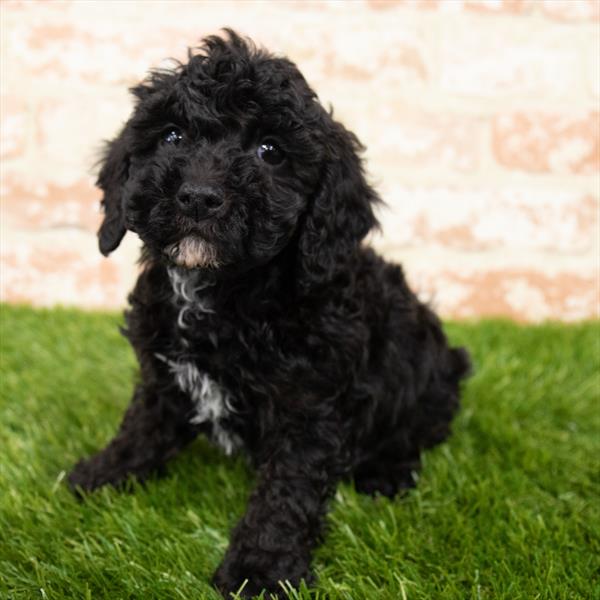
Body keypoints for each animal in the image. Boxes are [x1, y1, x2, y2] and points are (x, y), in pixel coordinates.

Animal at [69, 30, 474, 596]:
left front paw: (261, 567)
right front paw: (104, 474)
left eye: (270, 151)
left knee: (419, 426)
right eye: (171, 136)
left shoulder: (309, 402)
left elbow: (287, 489)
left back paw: (387, 472)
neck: (221, 291)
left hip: (429, 371)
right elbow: (143, 425)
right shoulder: (163, 372)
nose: (199, 197)